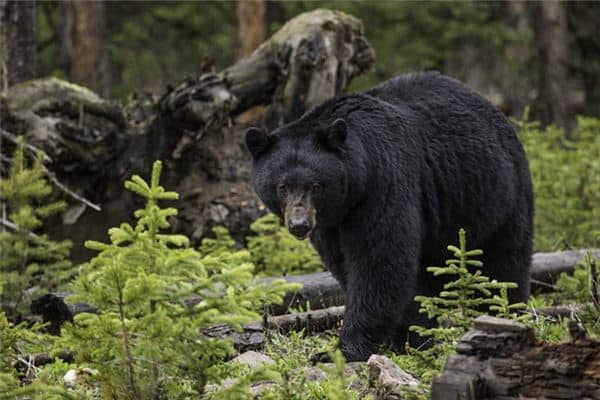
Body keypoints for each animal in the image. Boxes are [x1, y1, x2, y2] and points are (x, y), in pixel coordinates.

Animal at [246, 72, 532, 362]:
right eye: (282, 186)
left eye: (315, 185)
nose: (300, 225)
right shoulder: (331, 224)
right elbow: (347, 264)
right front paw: (411, 336)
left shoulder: (383, 184)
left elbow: (379, 260)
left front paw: (341, 350)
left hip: (497, 195)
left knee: (504, 263)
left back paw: (504, 314)